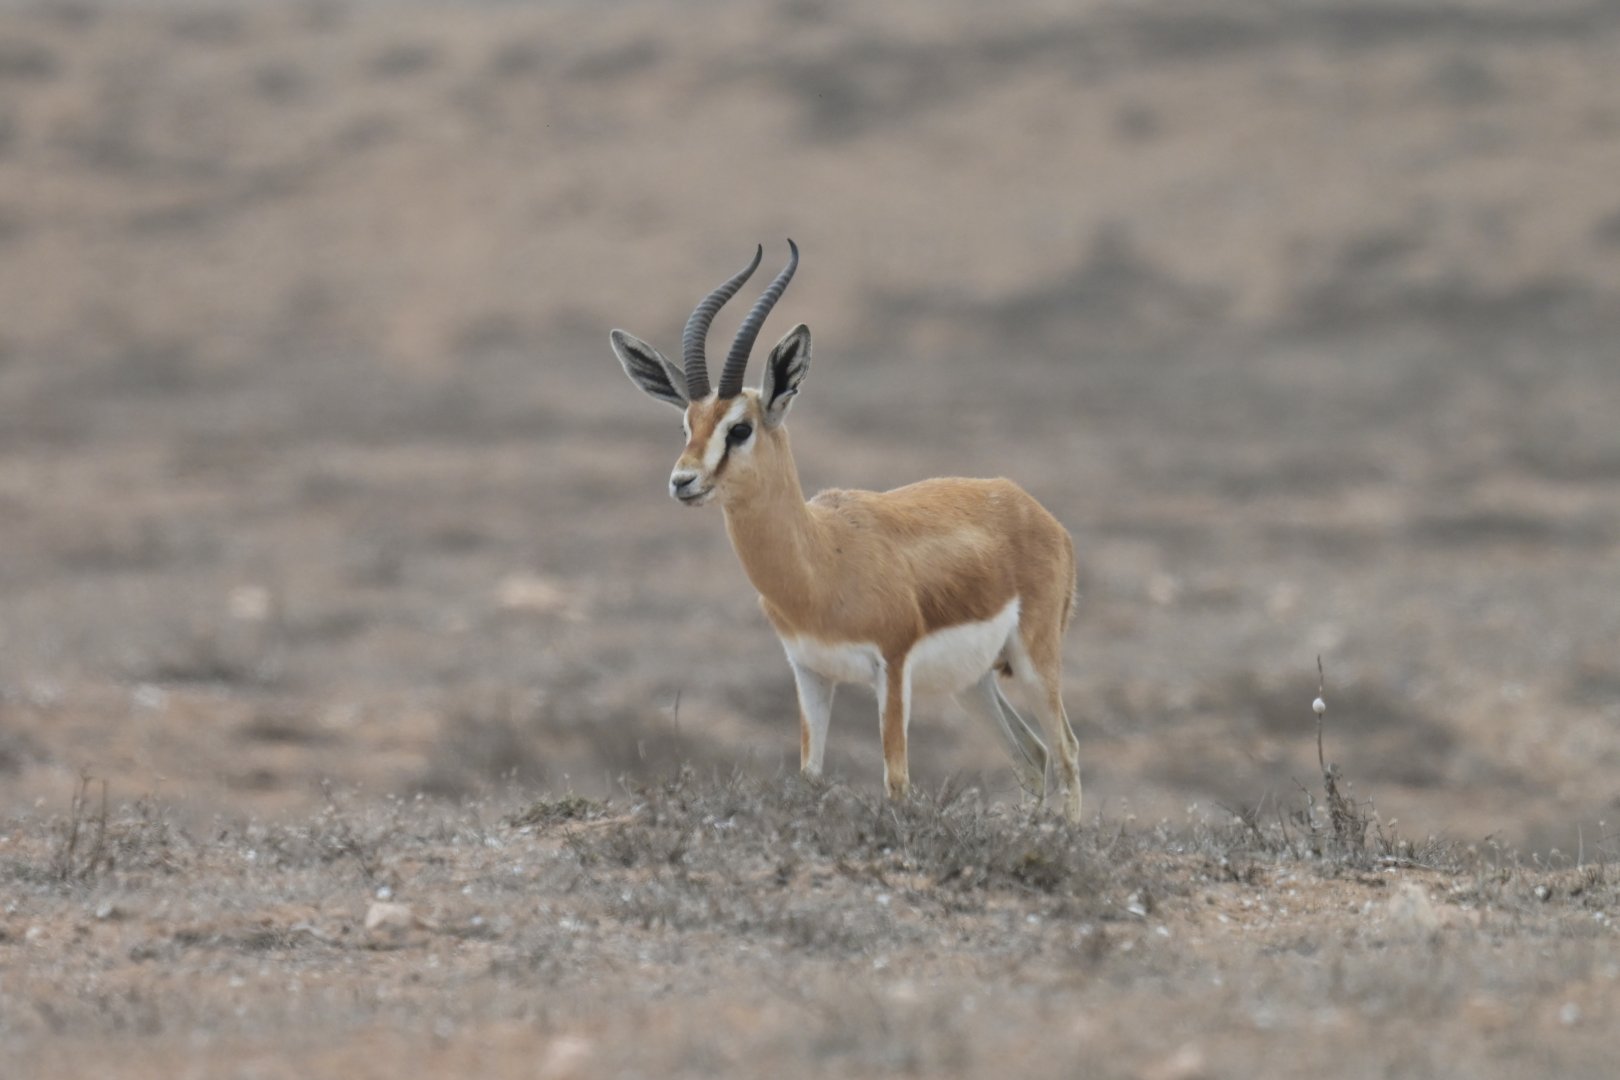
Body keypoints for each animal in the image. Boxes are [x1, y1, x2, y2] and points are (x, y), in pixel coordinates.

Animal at [610, 242, 1082, 822]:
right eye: (686, 426)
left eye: (739, 428)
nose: (683, 481)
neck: (821, 560)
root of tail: (1033, 510)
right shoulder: (810, 672)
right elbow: (810, 776)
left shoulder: (892, 668)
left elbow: (897, 782)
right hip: (971, 683)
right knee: (1031, 756)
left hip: (1035, 662)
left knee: (1065, 751)